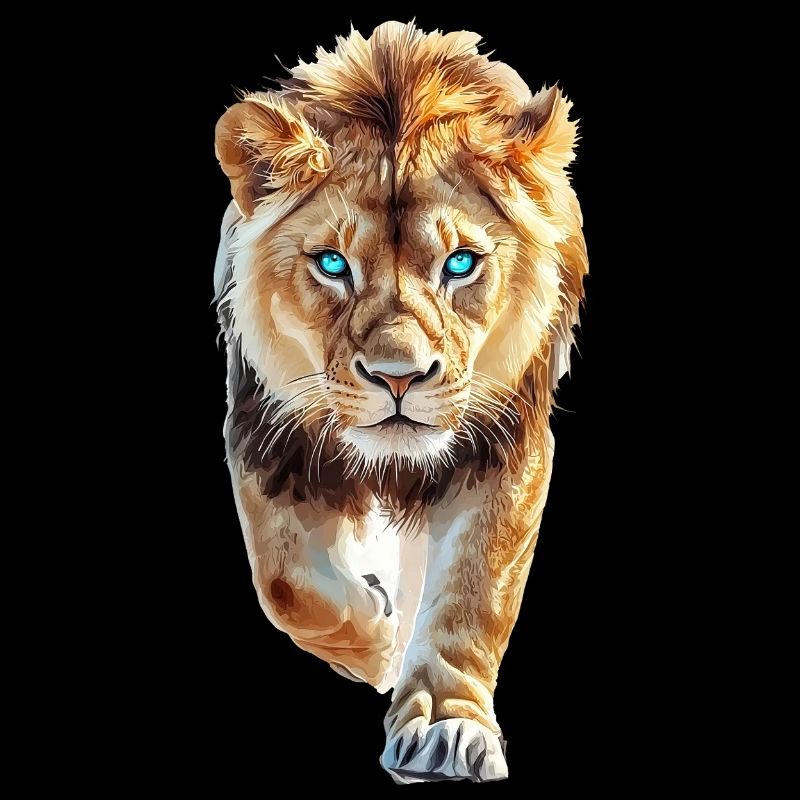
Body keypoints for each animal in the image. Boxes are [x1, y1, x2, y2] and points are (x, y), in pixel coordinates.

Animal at [213, 21, 587, 784]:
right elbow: (287, 584)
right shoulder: (264, 434)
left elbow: (475, 591)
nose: (398, 377)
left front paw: (446, 724)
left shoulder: (507, 442)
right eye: (332, 264)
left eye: (461, 263)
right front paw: (378, 647)